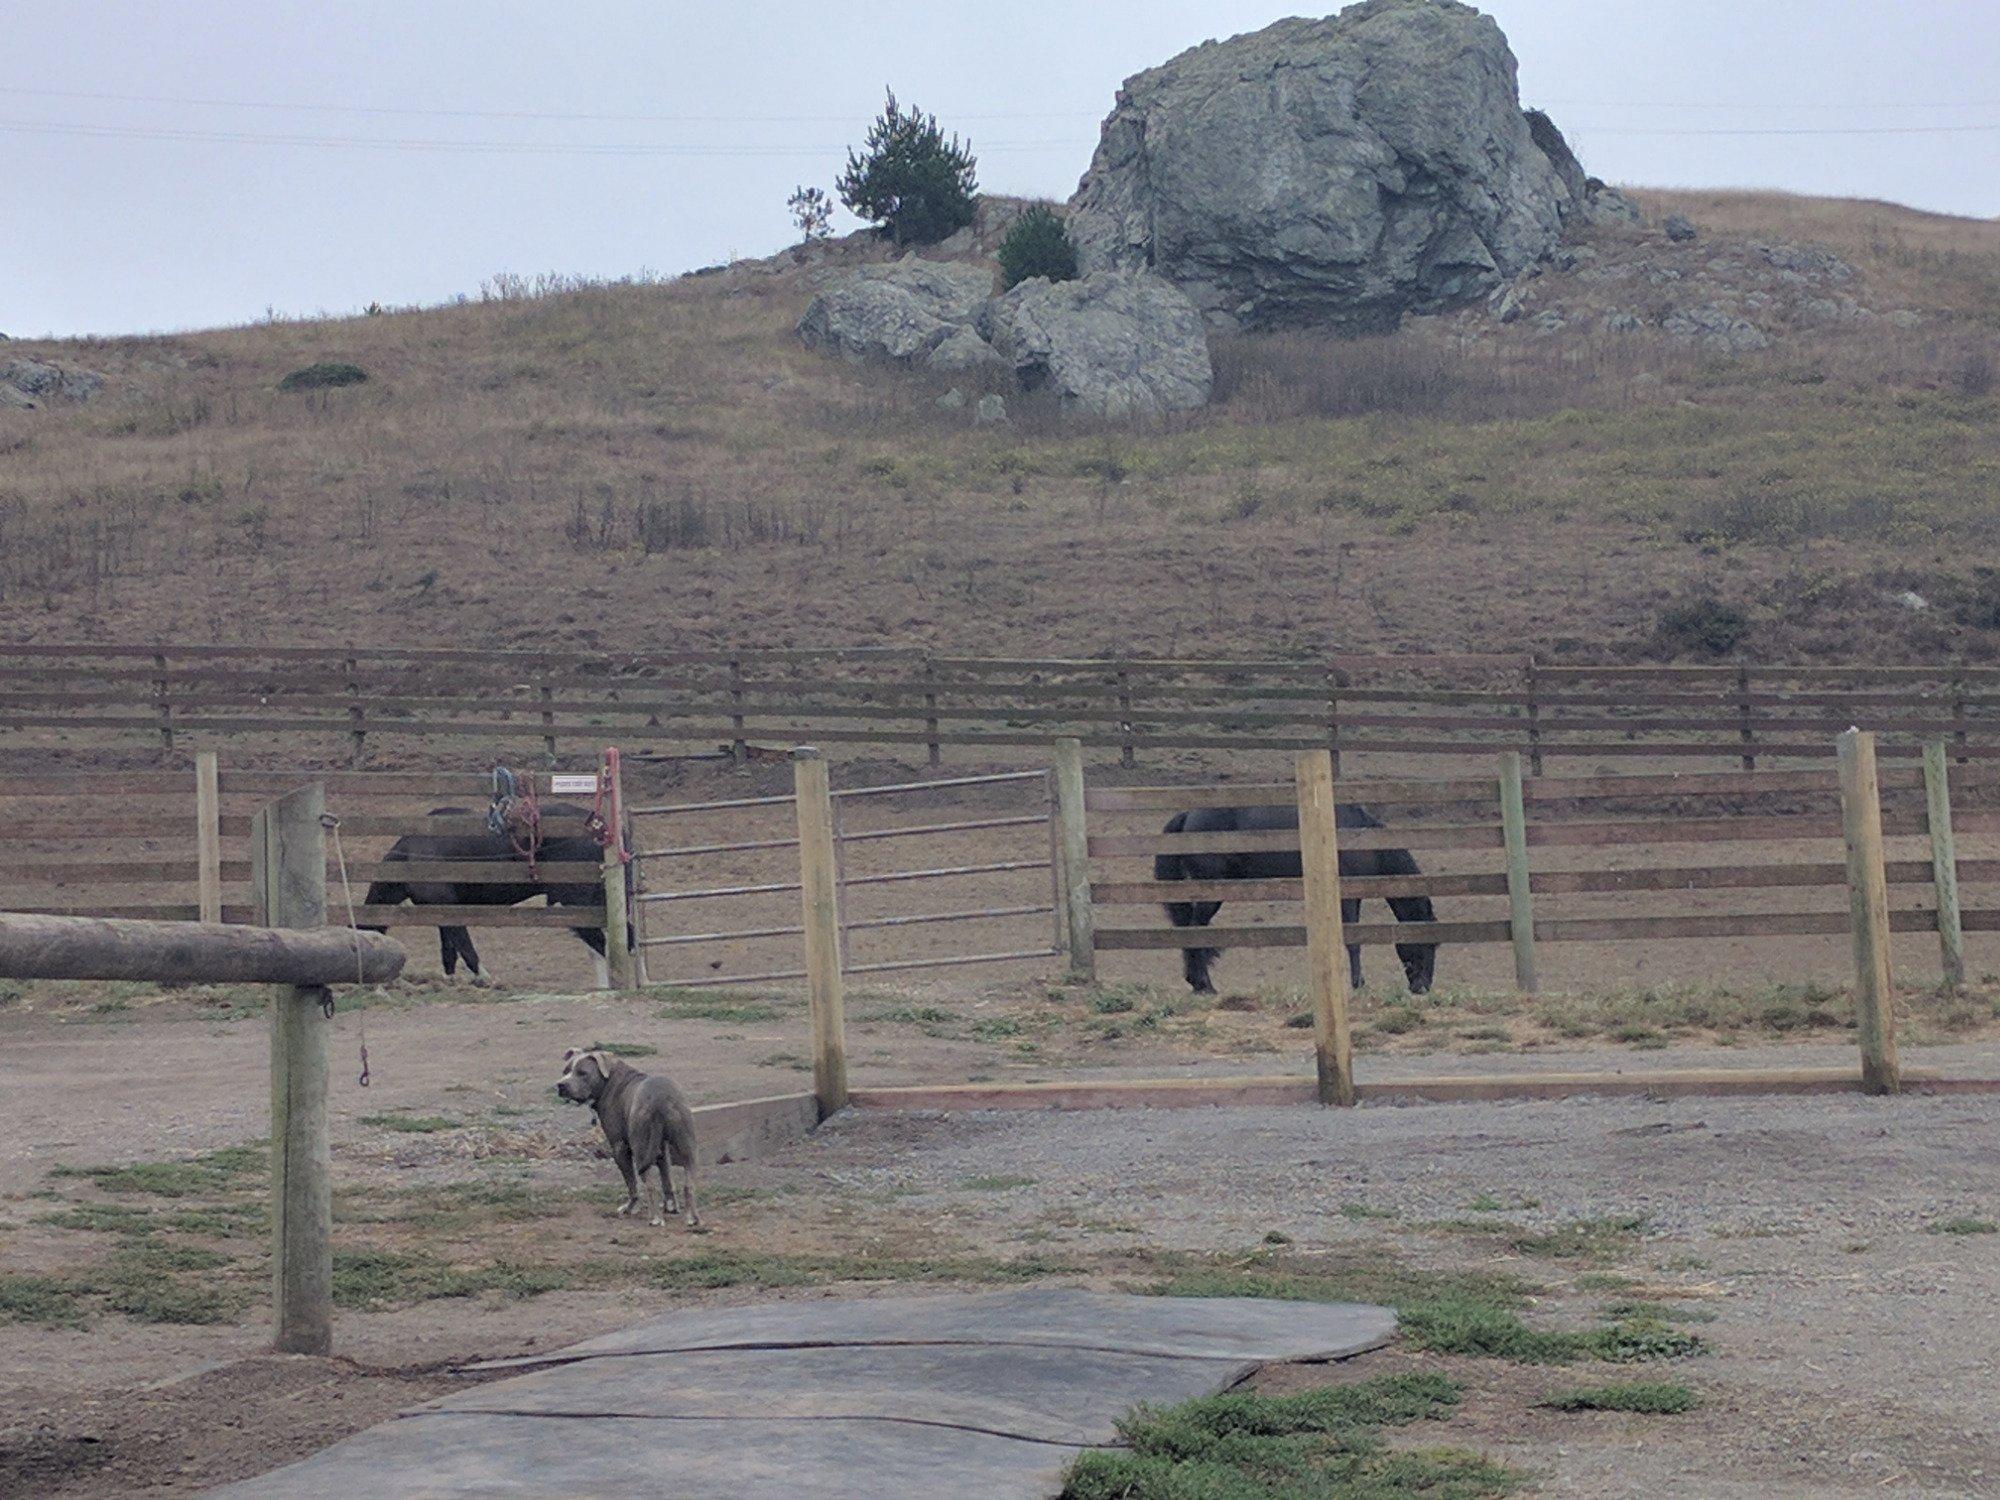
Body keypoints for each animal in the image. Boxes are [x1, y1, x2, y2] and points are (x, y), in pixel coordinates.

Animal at [556, 1048, 704, 1232]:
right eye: (565, 1071)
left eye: (583, 1073)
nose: (560, 1085)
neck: (609, 1080)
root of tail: (660, 1098)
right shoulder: (661, 1148)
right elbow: (666, 1178)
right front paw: (671, 1207)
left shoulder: (619, 1147)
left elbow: (631, 1183)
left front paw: (631, 1207)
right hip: (687, 1146)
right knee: (688, 1184)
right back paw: (692, 1218)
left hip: (641, 1148)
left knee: (649, 1184)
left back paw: (655, 1218)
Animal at [1160, 804, 1440, 1004]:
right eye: (1427, 943)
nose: (1422, 986)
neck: (1361, 838)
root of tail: (1188, 816)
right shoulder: (1347, 898)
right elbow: (1353, 942)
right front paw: (1358, 983)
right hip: (1210, 895)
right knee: (1195, 932)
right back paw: (1205, 985)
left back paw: (1198, 983)